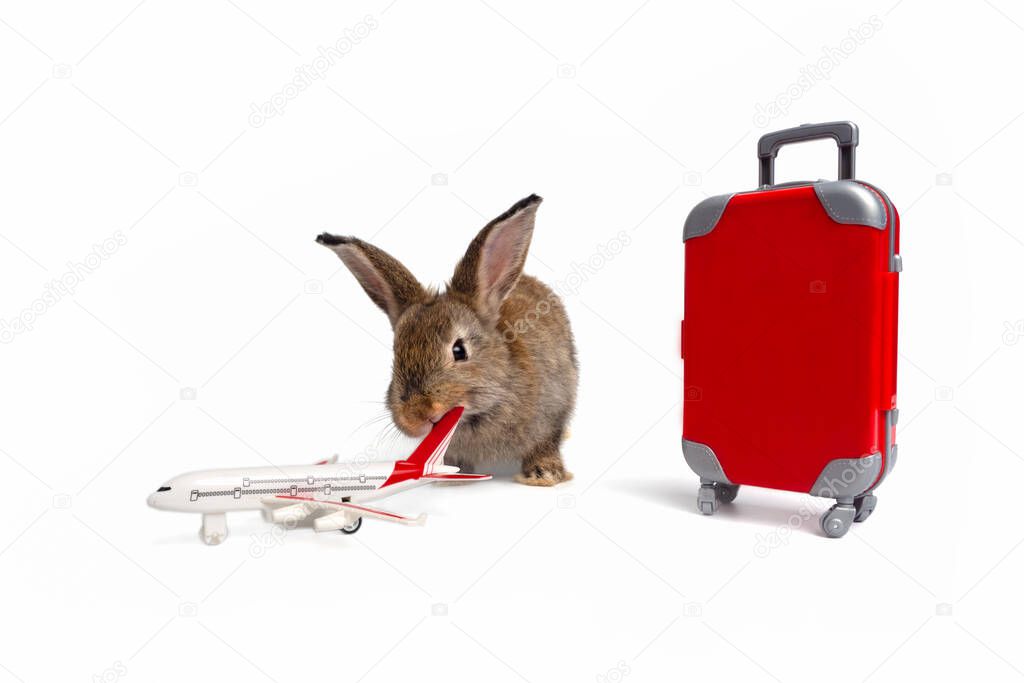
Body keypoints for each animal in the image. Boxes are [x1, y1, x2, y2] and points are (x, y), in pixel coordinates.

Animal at [315, 193, 577, 485]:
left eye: (459, 350)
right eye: (396, 354)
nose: (418, 414)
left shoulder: (551, 413)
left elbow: (544, 443)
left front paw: (544, 474)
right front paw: (452, 475)